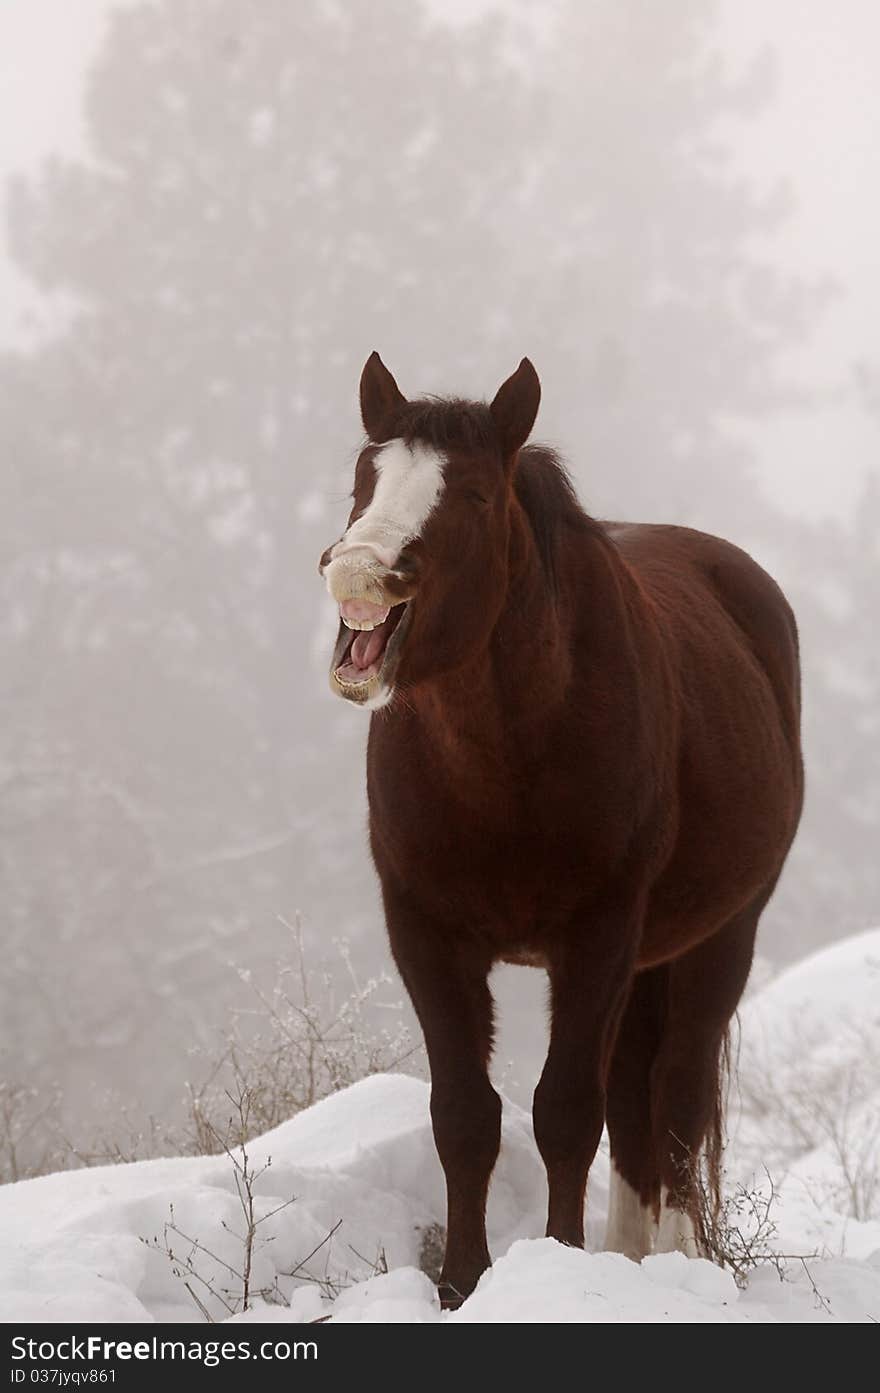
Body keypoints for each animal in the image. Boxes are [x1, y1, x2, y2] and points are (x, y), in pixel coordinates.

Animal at [317, 351, 802, 1303]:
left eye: (471, 494)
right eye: (364, 475)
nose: (357, 571)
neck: (507, 764)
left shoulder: (598, 933)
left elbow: (567, 1109)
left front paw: (559, 1261)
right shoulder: (424, 931)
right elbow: (465, 1113)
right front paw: (463, 1284)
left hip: (722, 932)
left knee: (677, 1093)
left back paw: (679, 1259)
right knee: (638, 1099)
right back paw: (629, 1253)